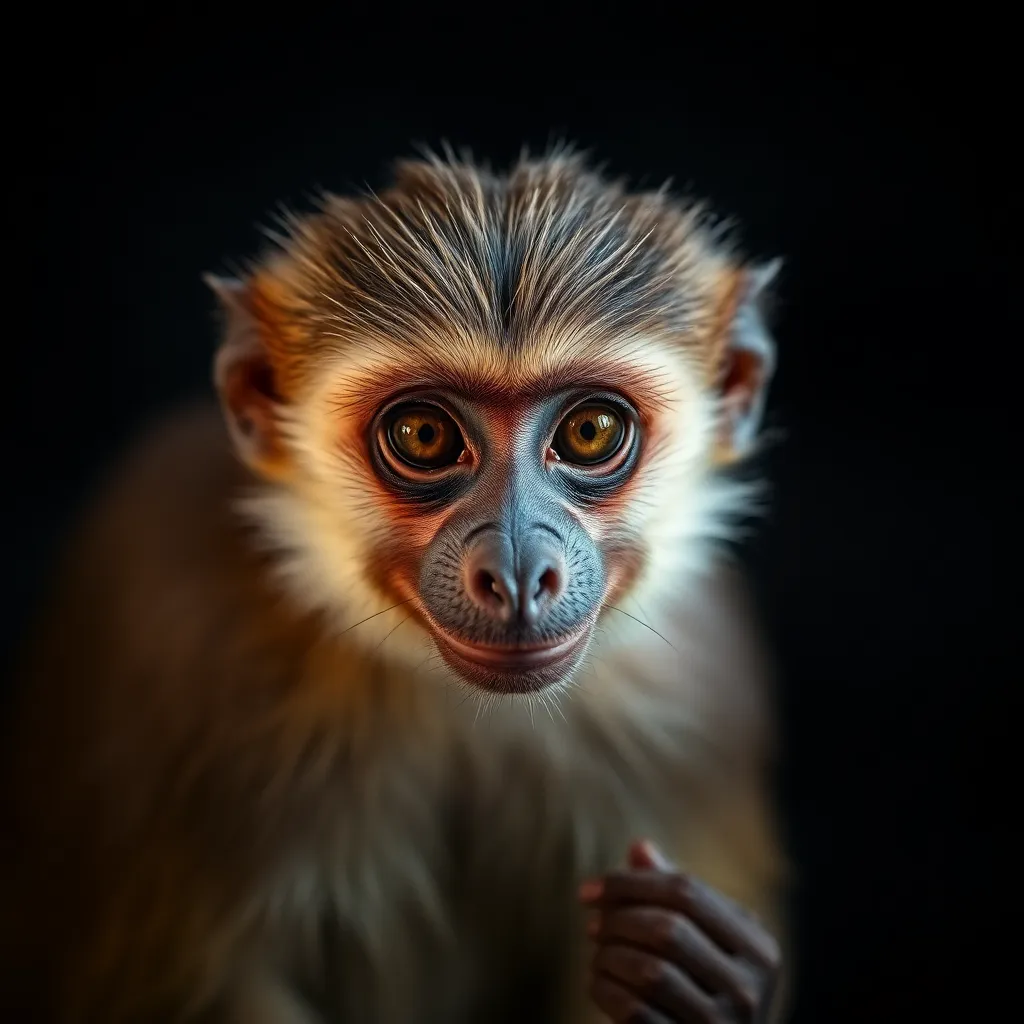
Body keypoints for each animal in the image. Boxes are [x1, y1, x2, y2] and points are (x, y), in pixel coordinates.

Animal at [1, 147, 789, 1024]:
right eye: (423, 434)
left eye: (589, 431)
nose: (516, 572)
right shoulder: (185, 655)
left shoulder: (689, 707)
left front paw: (690, 967)